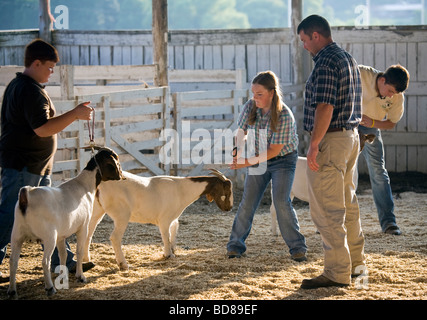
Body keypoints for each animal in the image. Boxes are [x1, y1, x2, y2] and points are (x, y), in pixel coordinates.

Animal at [7, 148, 123, 298]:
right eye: (115, 160)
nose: (121, 176)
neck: (85, 186)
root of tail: (27, 194)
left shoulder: (61, 236)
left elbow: (63, 255)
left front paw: (63, 275)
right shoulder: (83, 227)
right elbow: (79, 251)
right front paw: (80, 276)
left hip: (17, 234)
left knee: (13, 262)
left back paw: (12, 291)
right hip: (48, 236)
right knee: (45, 262)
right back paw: (50, 288)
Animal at [84, 170, 234, 270]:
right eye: (226, 192)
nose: (229, 208)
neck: (182, 189)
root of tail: (100, 184)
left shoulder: (173, 218)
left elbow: (174, 231)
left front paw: (173, 250)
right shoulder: (164, 219)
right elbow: (165, 235)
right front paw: (168, 254)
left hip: (96, 211)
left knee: (88, 233)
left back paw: (86, 260)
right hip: (122, 215)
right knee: (115, 238)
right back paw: (123, 264)